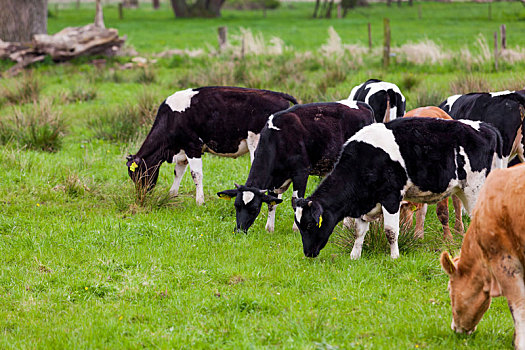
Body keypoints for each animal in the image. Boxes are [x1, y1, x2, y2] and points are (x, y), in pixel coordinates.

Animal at [127, 85, 296, 205]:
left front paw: (199, 201)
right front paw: (172, 195)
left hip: (257, 144)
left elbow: (196, 174)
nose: (141, 197)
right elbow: (178, 172)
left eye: (137, 173)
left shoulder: (193, 146)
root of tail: (279, 94)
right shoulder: (182, 150)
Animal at [215, 100, 374, 232]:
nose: (239, 230)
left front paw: (296, 228)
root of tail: (363, 105)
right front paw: (269, 228)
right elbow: (272, 202)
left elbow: (295, 201)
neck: (279, 139)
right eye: (236, 206)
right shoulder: (274, 179)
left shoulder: (301, 172)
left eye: (254, 209)